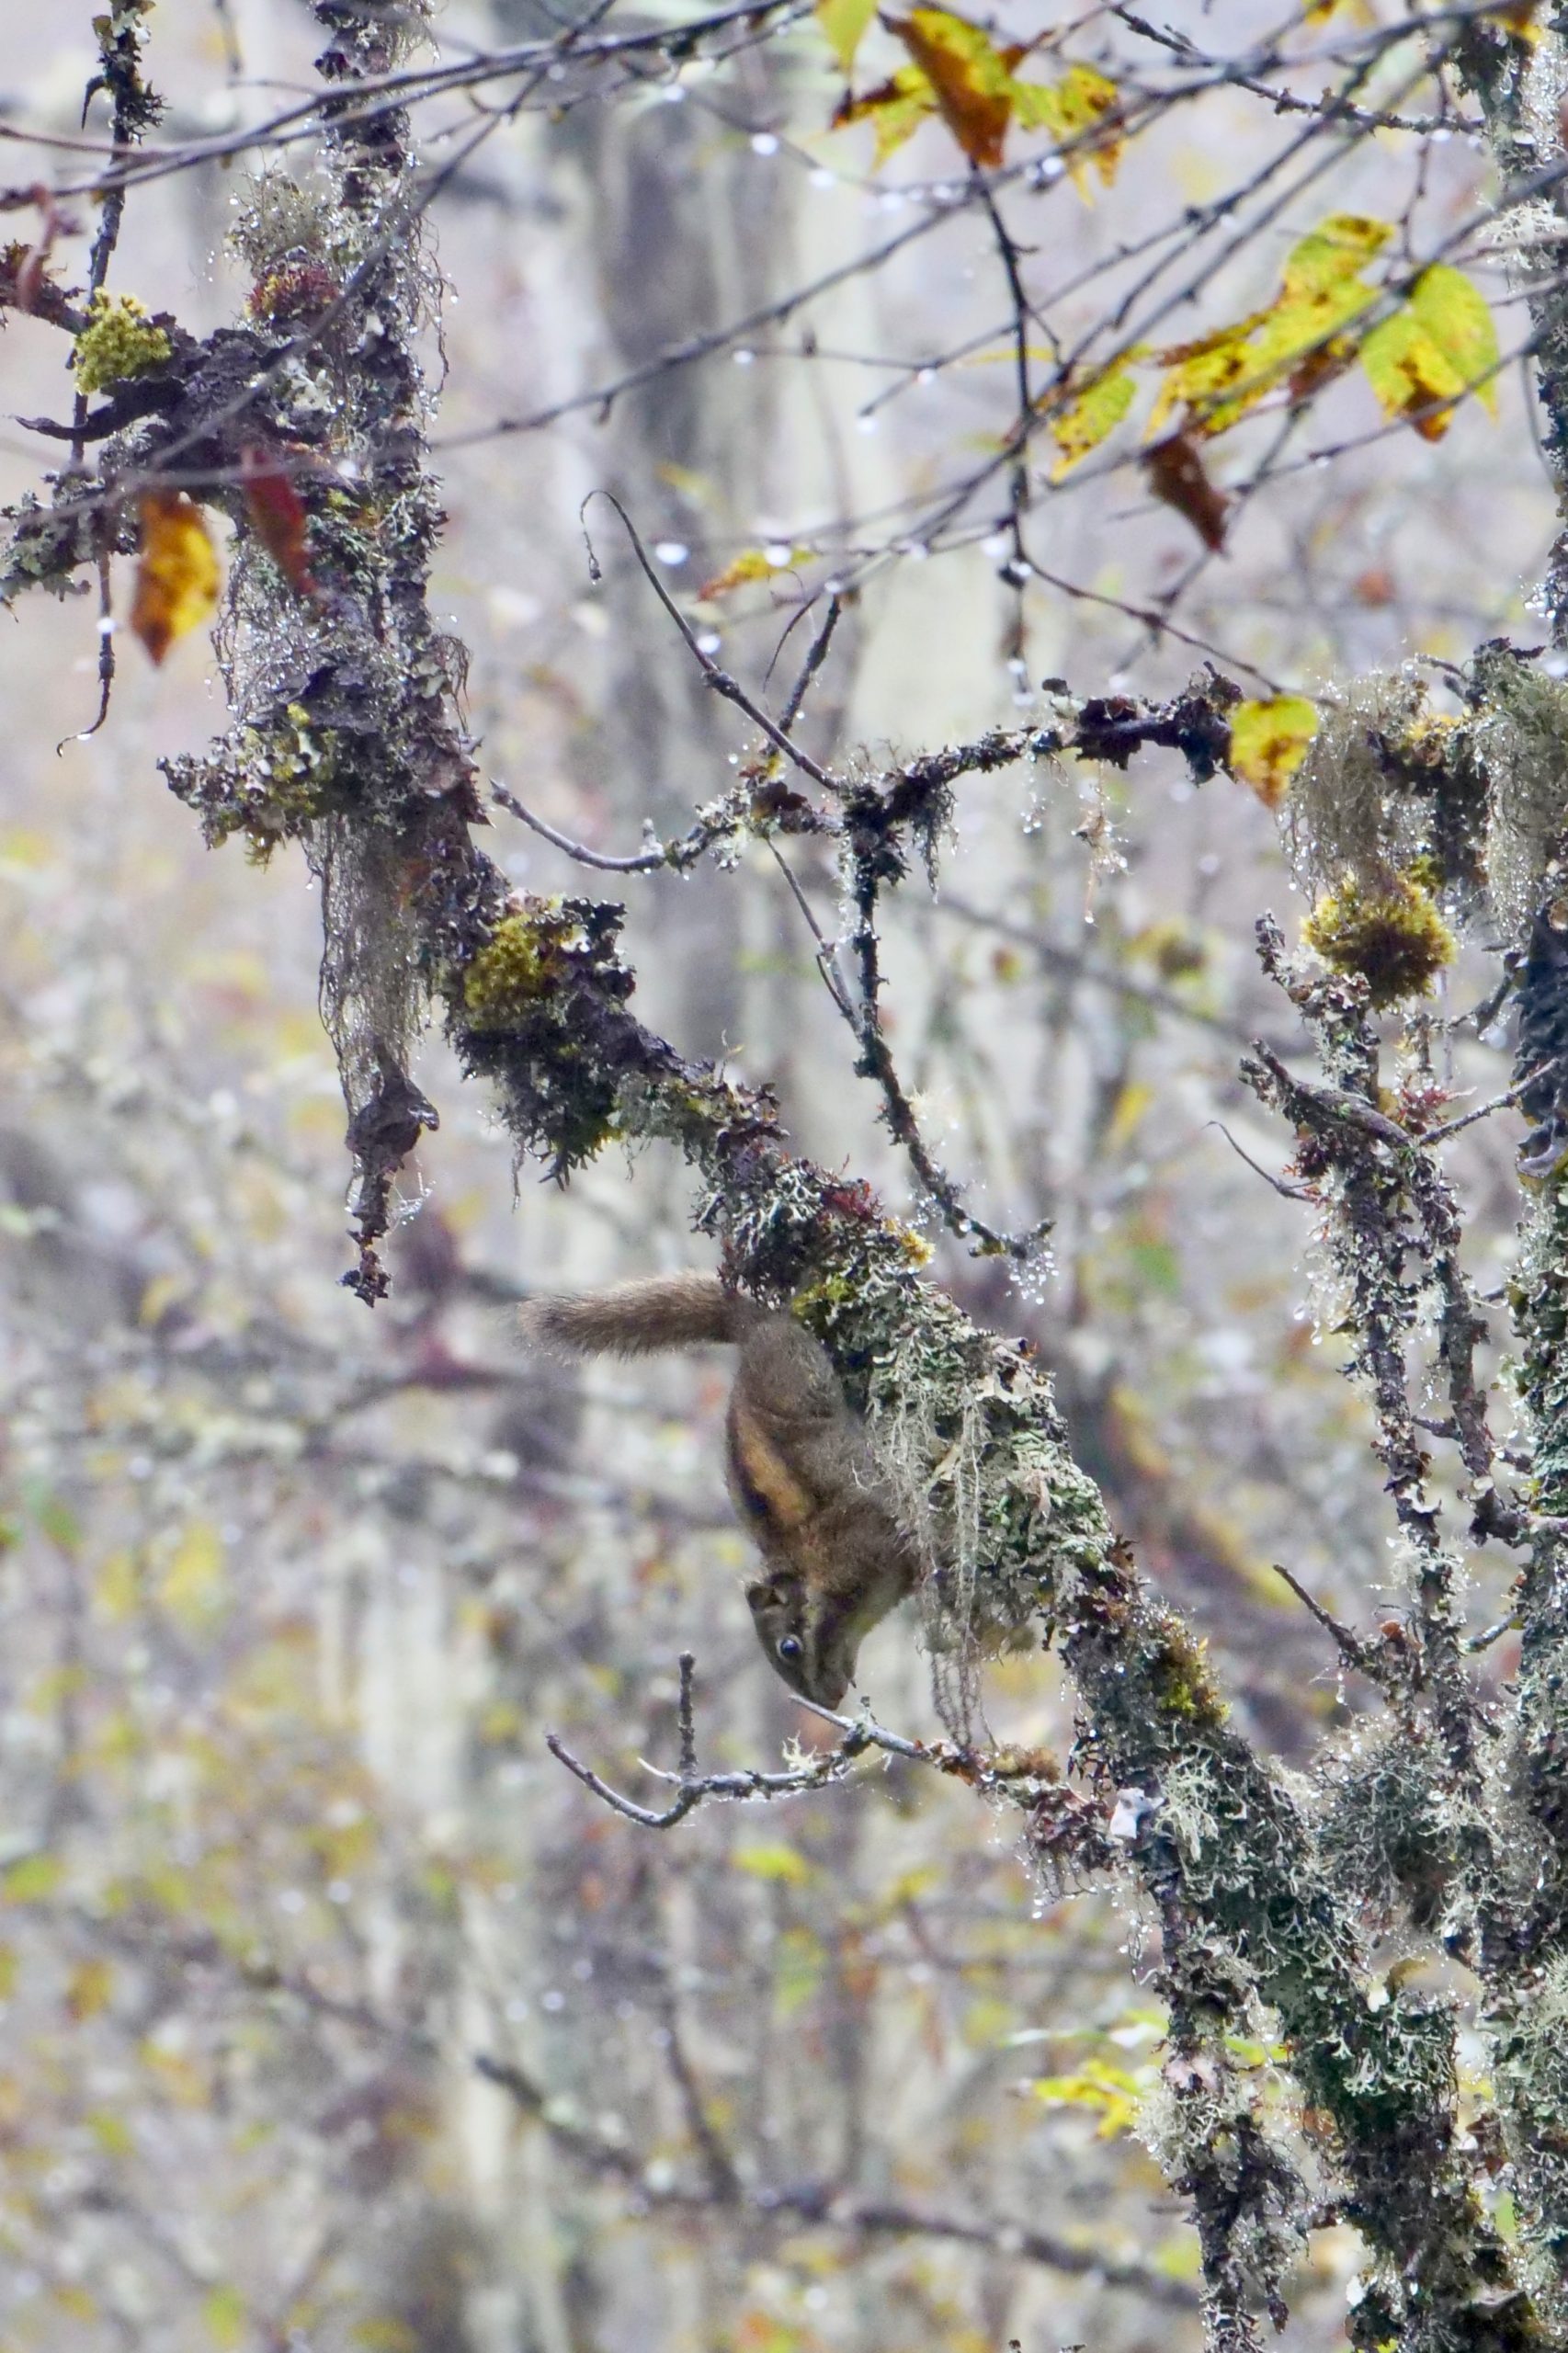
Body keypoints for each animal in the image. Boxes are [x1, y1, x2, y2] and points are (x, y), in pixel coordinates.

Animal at [517, 1279, 923, 1703]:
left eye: (789, 1647)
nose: (827, 1699)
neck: (814, 1572)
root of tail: (748, 1326)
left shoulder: (866, 1542)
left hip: (803, 1374)